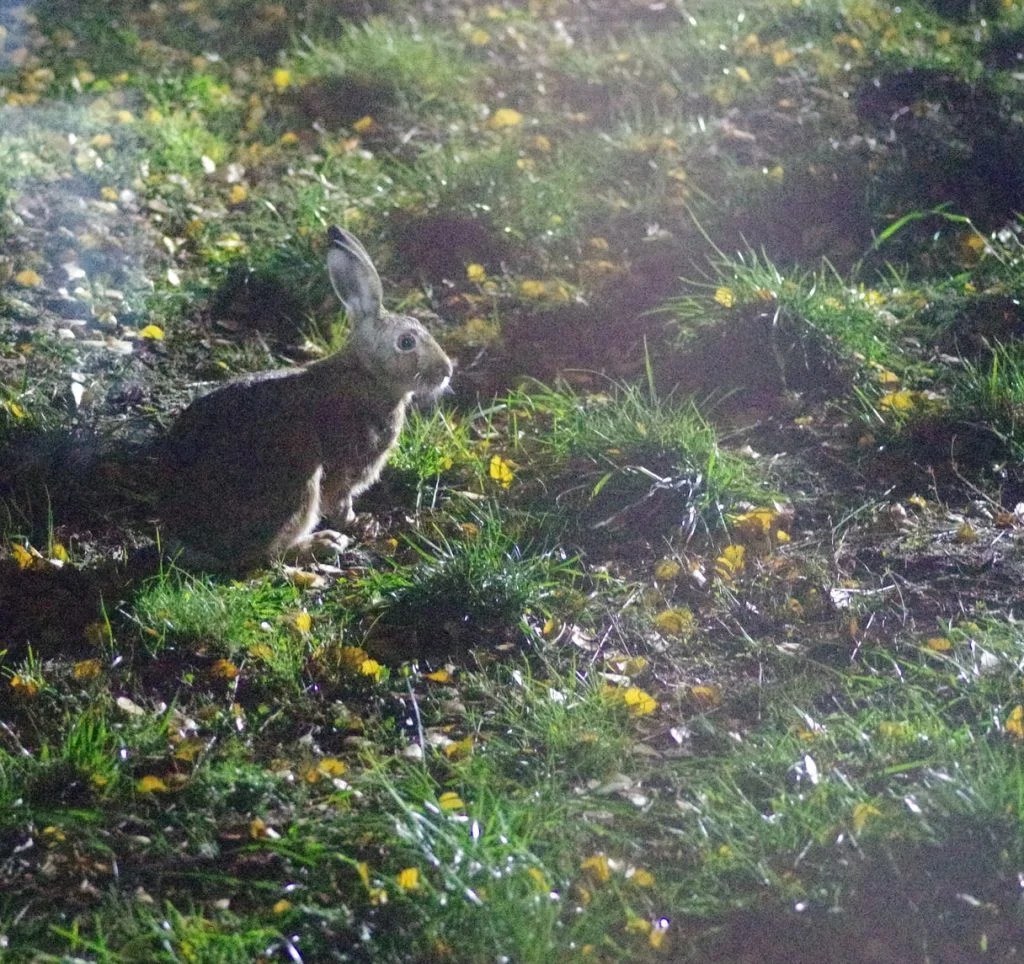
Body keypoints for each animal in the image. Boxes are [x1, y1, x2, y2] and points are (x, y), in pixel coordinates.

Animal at [159, 226, 453, 572]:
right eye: (406, 342)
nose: (447, 371)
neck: (369, 374)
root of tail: (189, 537)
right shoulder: (346, 467)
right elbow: (341, 501)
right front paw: (359, 523)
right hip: (297, 486)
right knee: (265, 555)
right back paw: (324, 543)